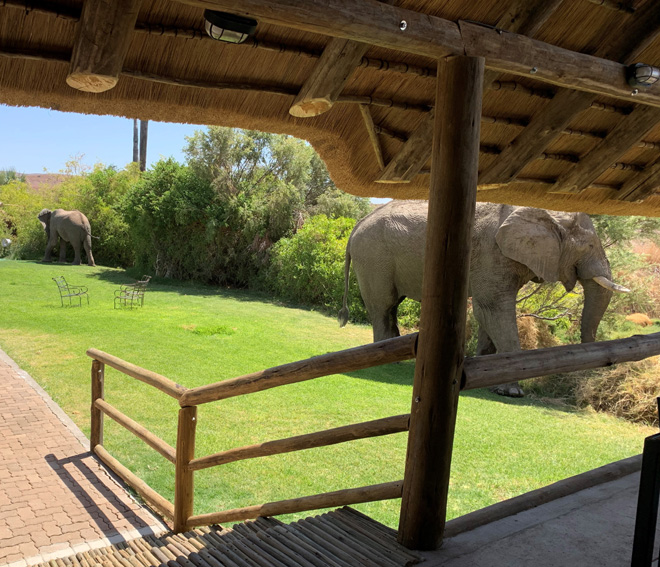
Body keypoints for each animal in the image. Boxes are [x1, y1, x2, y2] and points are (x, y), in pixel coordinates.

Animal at [340, 202, 628, 398]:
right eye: (590, 246)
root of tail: (357, 224)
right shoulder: (492, 254)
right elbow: (493, 308)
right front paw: (512, 393)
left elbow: (487, 313)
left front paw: (486, 377)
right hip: (373, 257)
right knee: (383, 306)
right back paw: (385, 361)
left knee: (392, 306)